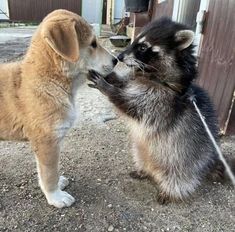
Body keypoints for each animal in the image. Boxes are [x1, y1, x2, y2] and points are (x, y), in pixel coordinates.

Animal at [0, 9, 116, 208]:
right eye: (93, 44)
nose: (117, 60)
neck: (49, 79)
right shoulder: (47, 141)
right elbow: (49, 173)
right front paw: (55, 196)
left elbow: (44, 171)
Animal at [87, 18, 226, 203]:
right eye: (135, 42)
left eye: (143, 47)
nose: (119, 57)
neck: (152, 74)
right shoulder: (137, 81)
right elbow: (125, 83)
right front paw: (110, 77)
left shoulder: (162, 101)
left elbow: (130, 105)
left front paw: (108, 88)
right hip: (141, 152)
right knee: (141, 157)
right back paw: (144, 170)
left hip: (185, 160)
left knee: (179, 176)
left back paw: (170, 191)